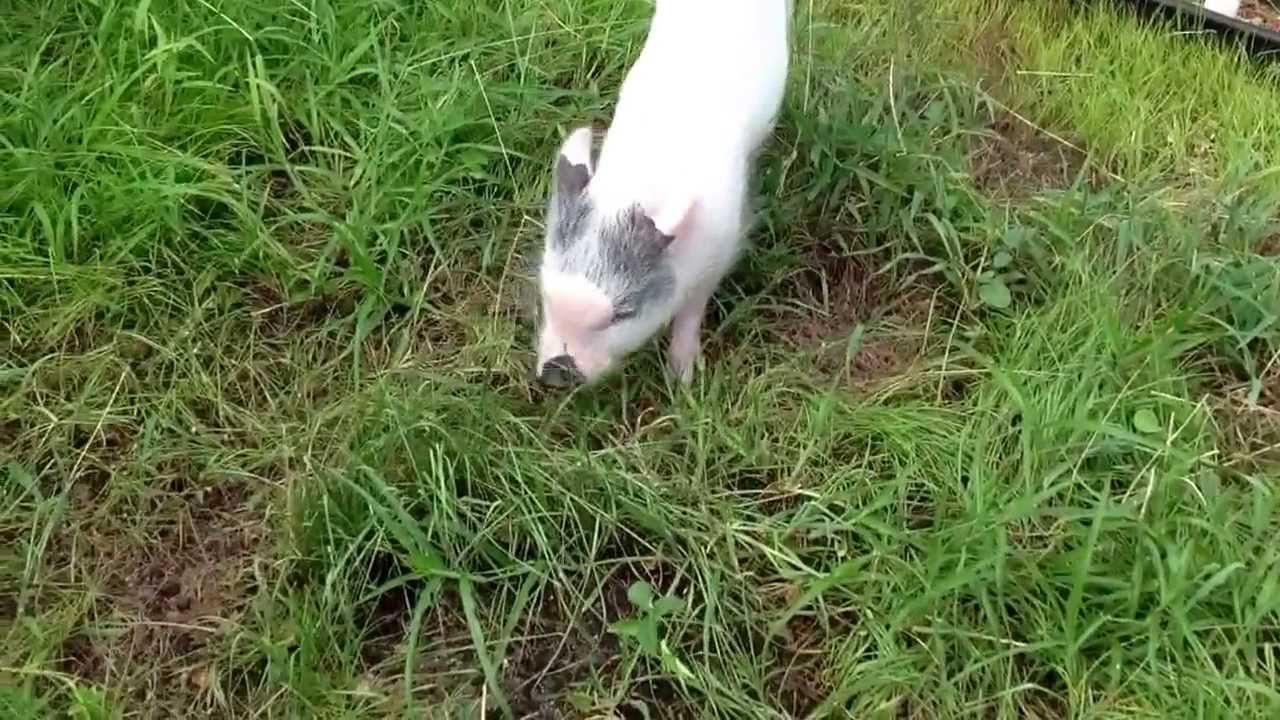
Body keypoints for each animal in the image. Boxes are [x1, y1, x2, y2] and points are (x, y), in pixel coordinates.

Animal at [533, 0, 790, 388]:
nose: (554, 373)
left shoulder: (720, 252)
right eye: (546, 294)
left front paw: (683, 381)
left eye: (622, 313)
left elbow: (691, 312)